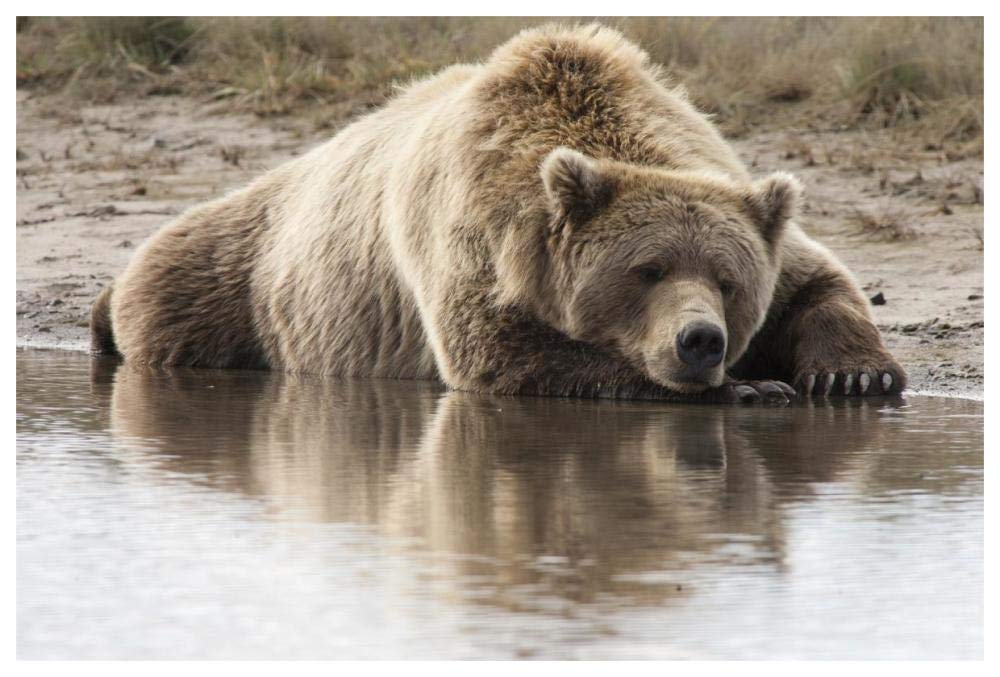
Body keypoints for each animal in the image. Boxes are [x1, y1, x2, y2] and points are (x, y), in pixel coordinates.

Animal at [91, 23, 906, 404]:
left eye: (729, 281)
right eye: (646, 270)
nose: (700, 340)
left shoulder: (726, 183)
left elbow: (816, 280)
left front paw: (854, 377)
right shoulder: (475, 240)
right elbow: (508, 356)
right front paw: (750, 386)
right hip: (238, 276)